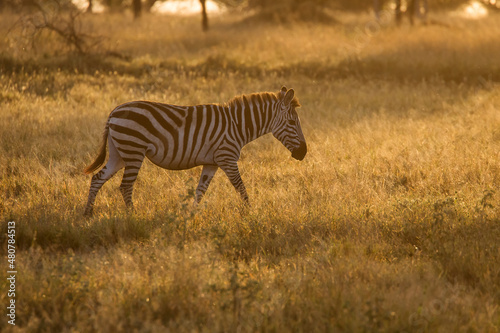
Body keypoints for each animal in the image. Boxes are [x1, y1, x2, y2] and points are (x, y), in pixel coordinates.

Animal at [84, 85, 306, 215]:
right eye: (292, 122)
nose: (303, 153)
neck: (237, 125)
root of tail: (114, 111)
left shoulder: (211, 163)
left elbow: (200, 191)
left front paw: (191, 216)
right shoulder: (227, 158)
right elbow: (241, 189)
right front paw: (251, 214)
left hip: (119, 154)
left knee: (97, 178)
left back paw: (88, 213)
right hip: (133, 151)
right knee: (125, 186)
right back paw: (133, 215)